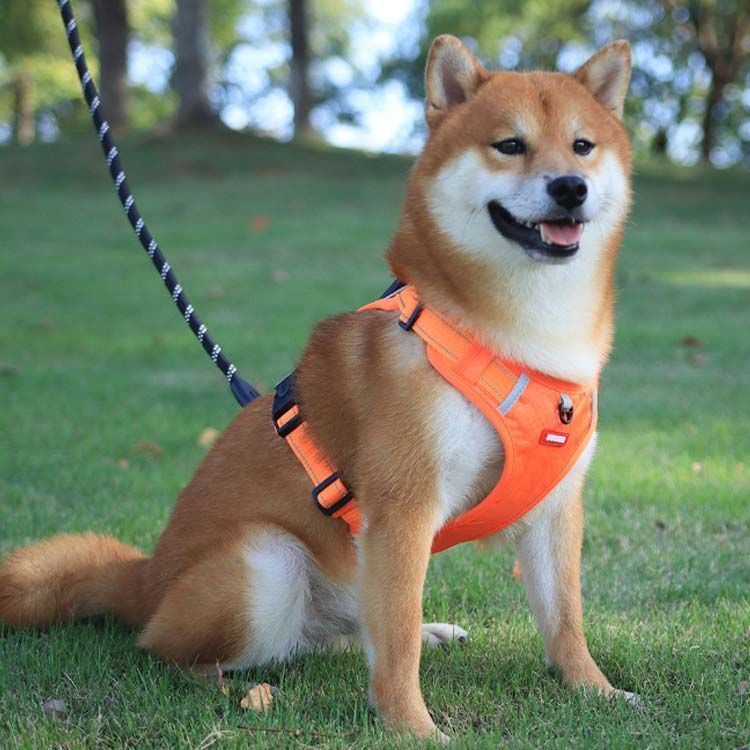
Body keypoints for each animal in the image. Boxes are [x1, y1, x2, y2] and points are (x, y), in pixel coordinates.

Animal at [0, 35, 636, 741]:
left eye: (582, 146)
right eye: (510, 145)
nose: (570, 187)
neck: (520, 339)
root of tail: (145, 577)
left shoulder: (555, 509)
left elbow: (565, 622)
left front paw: (596, 692)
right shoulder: (404, 506)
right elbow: (397, 646)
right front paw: (413, 728)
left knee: (346, 633)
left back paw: (427, 631)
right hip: (269, 561)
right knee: (165, 649)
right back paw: (231, 689)